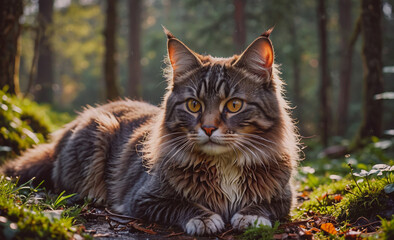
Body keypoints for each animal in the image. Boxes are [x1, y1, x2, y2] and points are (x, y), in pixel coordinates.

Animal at [1, 27, 300, 234]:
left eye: (234, 105)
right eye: (194, 105)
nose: (208, 127)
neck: (224, 164)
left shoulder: (284, 195)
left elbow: (267, 205)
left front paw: (251, 216)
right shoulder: (143, 197)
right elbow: (180, 205)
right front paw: (203, 218)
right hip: (99, 130)